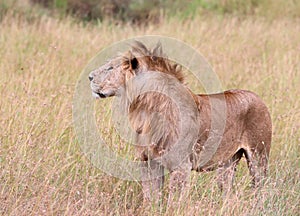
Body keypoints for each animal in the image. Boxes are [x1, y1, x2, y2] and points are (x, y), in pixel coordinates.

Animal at [88, 41, 272, 205]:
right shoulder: (148, 162)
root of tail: (257, 97)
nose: (89, 76)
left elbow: (174, 201)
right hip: (227, 163)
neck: (146, 109)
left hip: (258, 157)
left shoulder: (181, 165)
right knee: (227, 192)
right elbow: (151, 198)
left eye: (110, 68)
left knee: (261, 188)